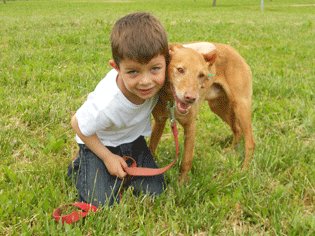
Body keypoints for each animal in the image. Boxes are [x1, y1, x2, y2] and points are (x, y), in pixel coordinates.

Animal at [149, 42, 256, 183]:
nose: (191, 98)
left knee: (250, 142)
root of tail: (232, 49)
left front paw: (182, 184)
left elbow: (187, 160)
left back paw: (243, 172)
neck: (171, 100)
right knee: (237, 130)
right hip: (218, 107)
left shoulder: (190, 126)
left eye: (201, 75)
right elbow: (151, 148)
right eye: (180, 70)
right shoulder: (159, 122)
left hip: (241, 106)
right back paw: (230, 150)